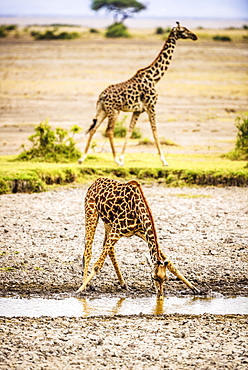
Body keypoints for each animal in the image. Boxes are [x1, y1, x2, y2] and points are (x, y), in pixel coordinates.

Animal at [79, 20, 198, 165]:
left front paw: (122, 158)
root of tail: (101, 96)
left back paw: (82, 158)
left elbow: (129, 132)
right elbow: (155, 132)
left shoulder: (138, 110)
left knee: (93, 129)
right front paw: (164, 161)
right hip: (114, 111)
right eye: (184, 30)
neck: (154, 77)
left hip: (103, 110)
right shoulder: (151, 106)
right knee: (109, 131)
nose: (195, 36)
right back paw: (115, 160)